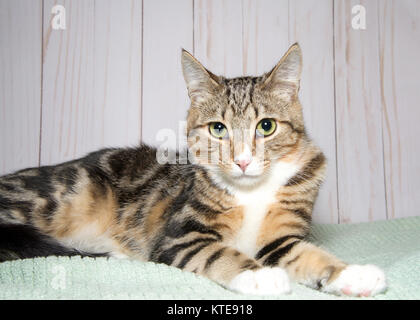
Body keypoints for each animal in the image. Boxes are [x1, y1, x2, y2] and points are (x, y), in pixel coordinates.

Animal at [0, 43, 388, 296]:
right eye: (218, 129)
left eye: (266, 126)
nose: (242, 160)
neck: (252, 193)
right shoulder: (180, 234)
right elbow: (217, 252)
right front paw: (260, 276)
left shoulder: (281, 236)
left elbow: (304, 253)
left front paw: (352, 274)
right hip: (65, 194)